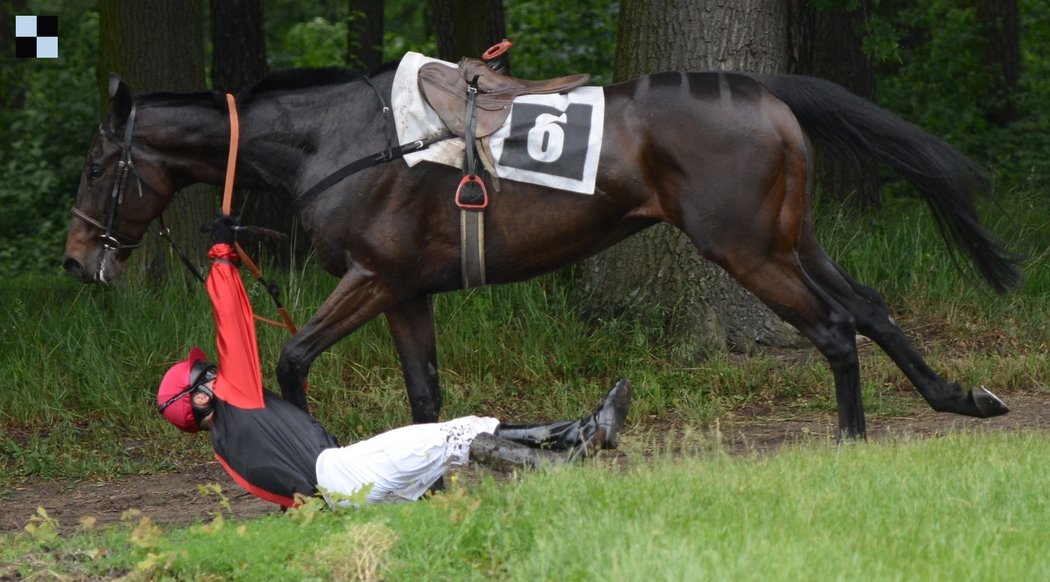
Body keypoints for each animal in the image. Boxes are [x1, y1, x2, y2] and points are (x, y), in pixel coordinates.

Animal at [61, 56, 1020, 437]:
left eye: (98, 165)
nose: (76, 259)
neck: (335, 140)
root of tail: (764, 92)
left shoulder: (373, 277)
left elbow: (293, 361)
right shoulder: (408, 291)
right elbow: (426, 396)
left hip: (746, 248)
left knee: (832, 328)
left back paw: (850, 439)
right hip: (791, 236)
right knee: (870, 307)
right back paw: (958, 397)